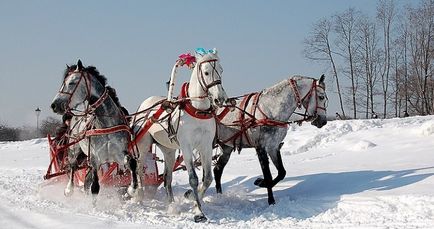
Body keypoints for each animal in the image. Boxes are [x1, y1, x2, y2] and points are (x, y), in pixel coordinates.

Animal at [50, 60, 142, 201]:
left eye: (71, 83)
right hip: (73, 150)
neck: (105, 125)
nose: (54, 105)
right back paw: (69, 190)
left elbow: (132, 162)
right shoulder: (95, 159)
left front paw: (132, 189)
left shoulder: (119, 154)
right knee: (72, 167)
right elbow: (95, 188)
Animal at [131, 49, 227, 222]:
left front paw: (192, 198)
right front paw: (198, 212)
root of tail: (144, 104)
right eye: (206, 72)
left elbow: (207, 178)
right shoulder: (187, 146)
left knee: (167, 178)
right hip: (142, 145)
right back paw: (138, 196)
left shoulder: (206, 146)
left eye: (221, 70)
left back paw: (171, 204)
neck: (197, 110)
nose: (220, 99)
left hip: (169, 150)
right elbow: (193, 179)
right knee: (139, 170)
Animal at [215, 74, 328, 204]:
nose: (323, 121)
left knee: (217, 170)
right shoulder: (261, 147)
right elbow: (268, 175)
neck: (271, 110)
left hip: (226, 148)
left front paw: (260, 182)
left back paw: (219, 196)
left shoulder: (273, 146)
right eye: (321, 97)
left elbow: (282, 173)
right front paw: (271, 201)